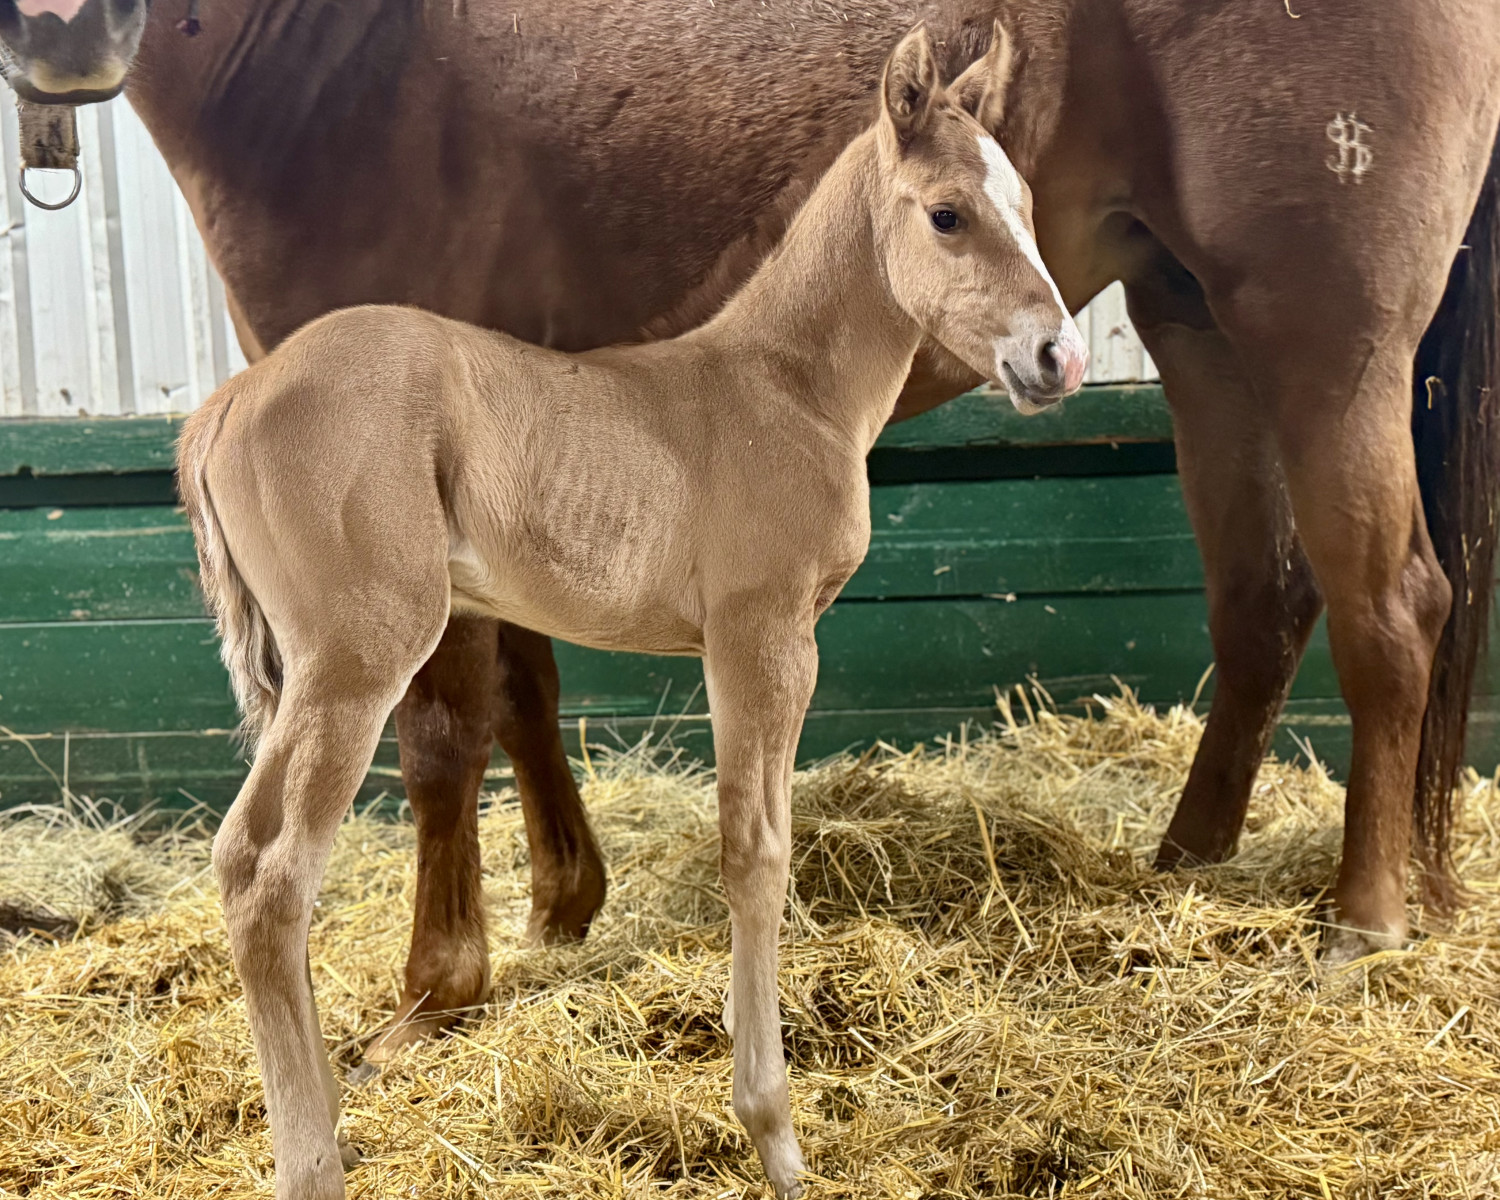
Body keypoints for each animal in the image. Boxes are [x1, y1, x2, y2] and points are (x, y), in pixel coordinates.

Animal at [4, 0, 1498, 1046]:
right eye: (950, 212)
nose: (64, 38)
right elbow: (525, 697)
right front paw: (545, 918)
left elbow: (460, 726)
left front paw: (447, 980)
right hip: (1195, 321)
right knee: (1267, 597)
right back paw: (1204, 861)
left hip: (1325, 335)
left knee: (1389, 605)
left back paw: (1367, 915)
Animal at [176, 29, 1075, 1196]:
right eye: (949, 214)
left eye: (1026, 199)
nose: (1059, 356)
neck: (786, 389)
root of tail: (232, 397)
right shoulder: (762, 639)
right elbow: (755, 853)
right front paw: (775, 1135)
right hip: (357, 659)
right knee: (269, 870)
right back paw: (313, 1160)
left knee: (246, 862)